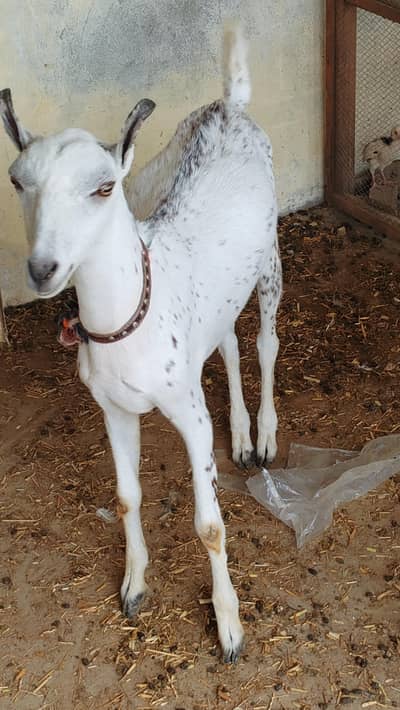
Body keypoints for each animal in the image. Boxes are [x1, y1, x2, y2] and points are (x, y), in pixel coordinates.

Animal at [0, 26, 281, 663]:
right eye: (17, 181)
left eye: (105, 186)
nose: (43, 268)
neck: (130, 322)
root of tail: (231, 104)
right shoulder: (112, 406)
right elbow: (127, 496)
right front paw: (133, 586)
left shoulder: (188, 411)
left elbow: (210, 525)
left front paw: (229, 628)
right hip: (219, 297)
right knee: (229, 344)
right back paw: (241, 436)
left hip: (272, 257)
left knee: (266, 341)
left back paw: (266, 436)